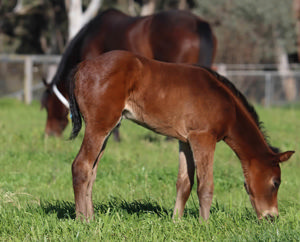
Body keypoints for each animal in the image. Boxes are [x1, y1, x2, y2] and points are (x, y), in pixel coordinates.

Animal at [68, 50, 296, 221]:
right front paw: (205, 225)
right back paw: (83, 221)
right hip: (99, 126)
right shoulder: (203, 137)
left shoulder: (185, 141)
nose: (272, 217)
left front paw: (176, 222)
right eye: (276, 182)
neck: (226, 106)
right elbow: (205, 184)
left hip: (107, 129)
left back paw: (92, 218)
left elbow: (184, 183)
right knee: (81, 166)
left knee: (92, 171)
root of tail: (81, 66)